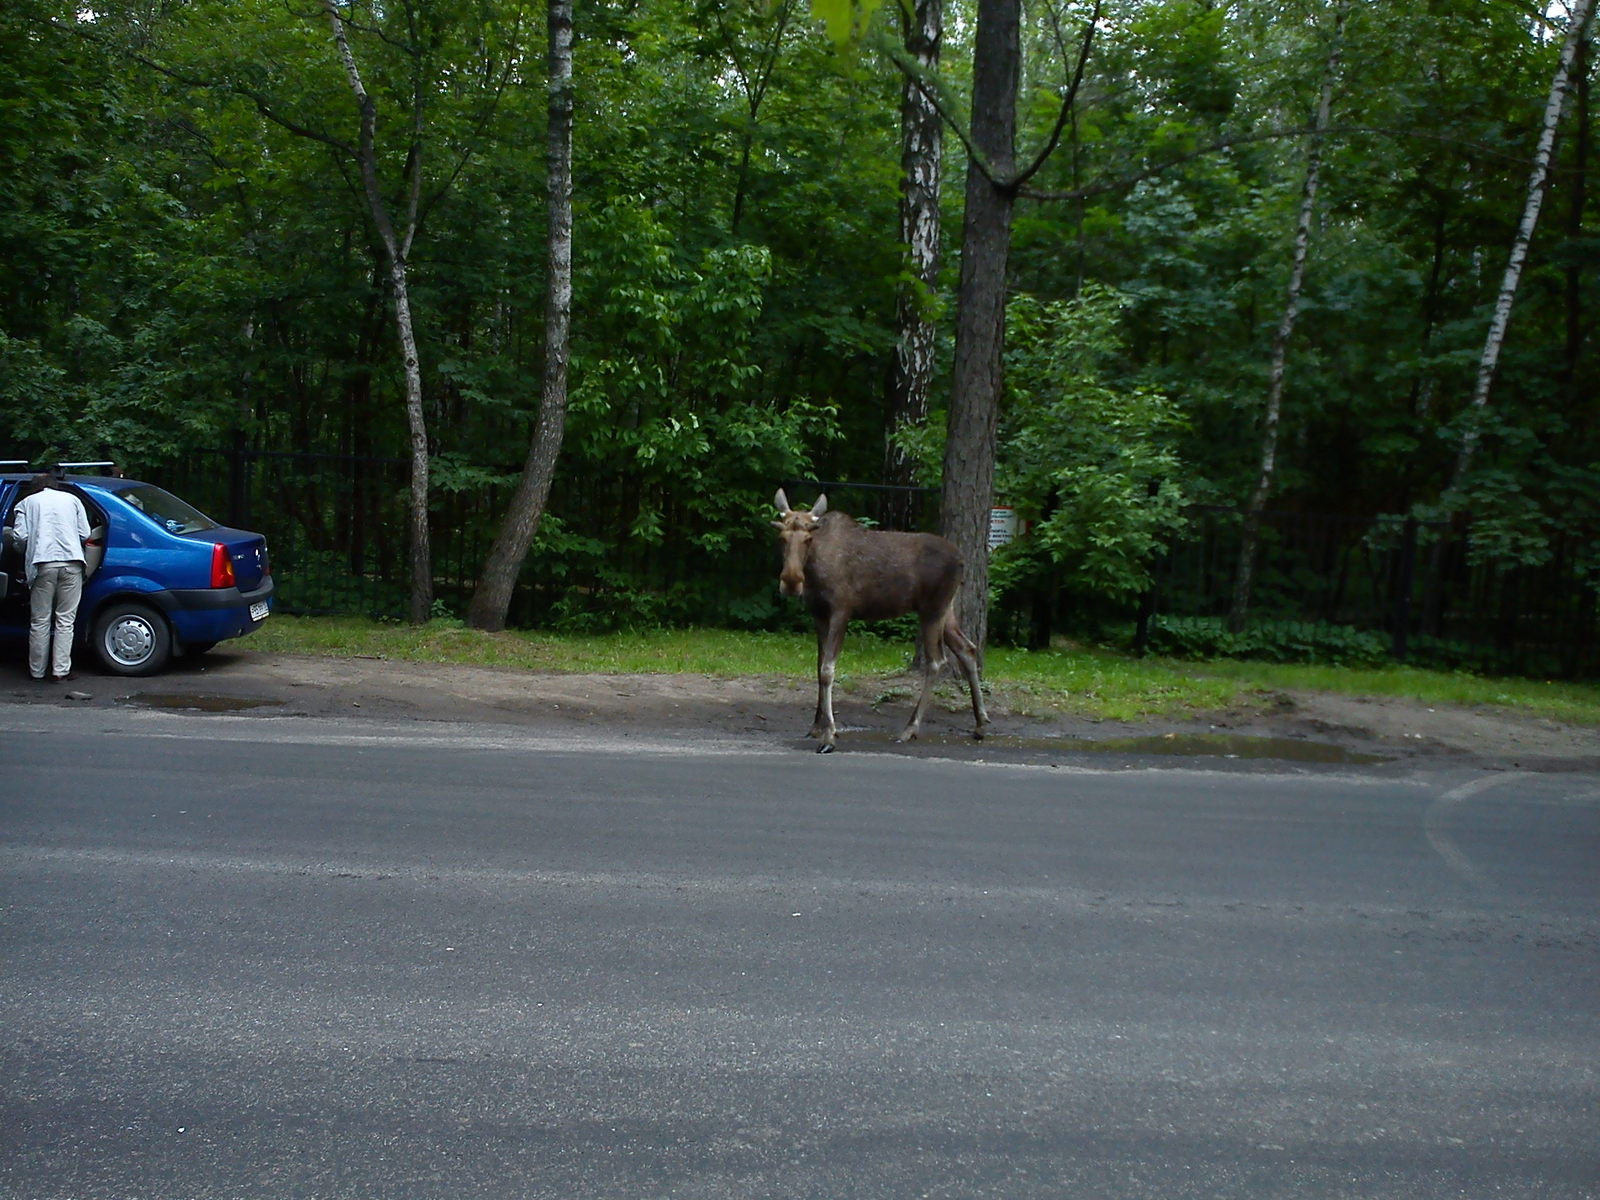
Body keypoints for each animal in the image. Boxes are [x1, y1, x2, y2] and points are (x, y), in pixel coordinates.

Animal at [774, 486, 985, 752]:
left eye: (808, 539)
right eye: (781, 538)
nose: (791, 581)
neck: (812, 569)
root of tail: (962, 560)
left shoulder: (841, 611)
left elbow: (827, 670)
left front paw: (830, 735)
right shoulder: (818, 614)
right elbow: (818, 667)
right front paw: (816, 726)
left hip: (932, 609)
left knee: (936, 660)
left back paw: (910, 729)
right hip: (947, 610)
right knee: (967, 648)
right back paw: (980, 724)